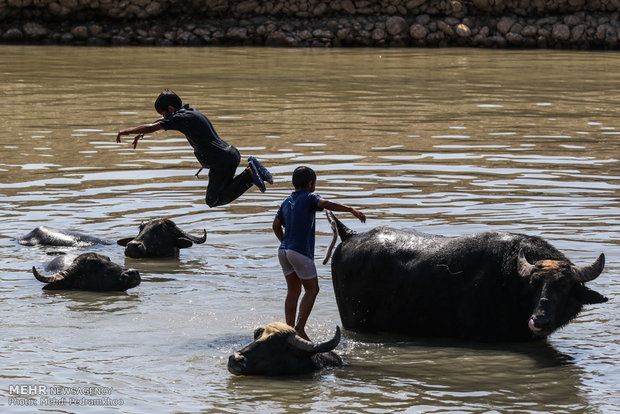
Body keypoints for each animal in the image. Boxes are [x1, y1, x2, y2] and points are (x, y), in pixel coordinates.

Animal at [326, 212, 608, 342]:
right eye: (533, 286)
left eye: (563, 287)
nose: (538, 320)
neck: (509, 284)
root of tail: (350, 234)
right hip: (355, 321)